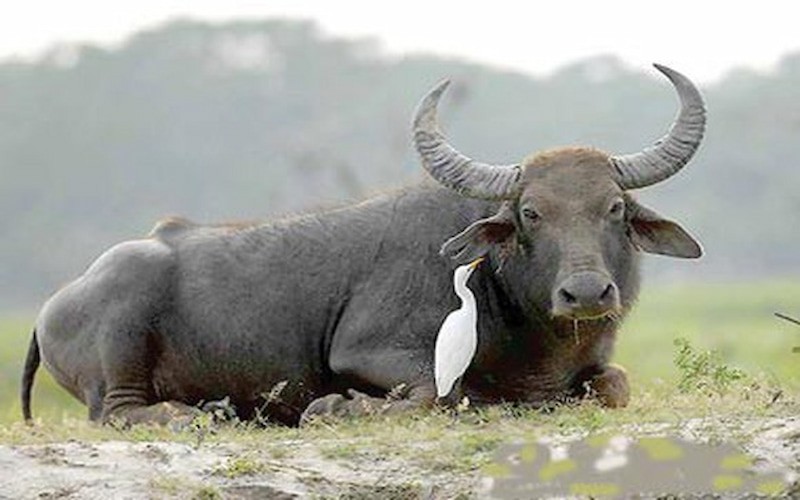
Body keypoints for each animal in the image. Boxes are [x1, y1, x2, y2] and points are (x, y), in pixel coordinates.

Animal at [21, 63, 704, 426]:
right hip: (123, 329)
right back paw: (194, 414)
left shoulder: (598, 368)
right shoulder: (372, 350)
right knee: (117, 412)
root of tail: (54, 307)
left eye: (613, 208)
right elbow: (441, 394)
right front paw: (335, 408)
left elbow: (615, 384)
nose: (586, 292)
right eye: (530, 213)